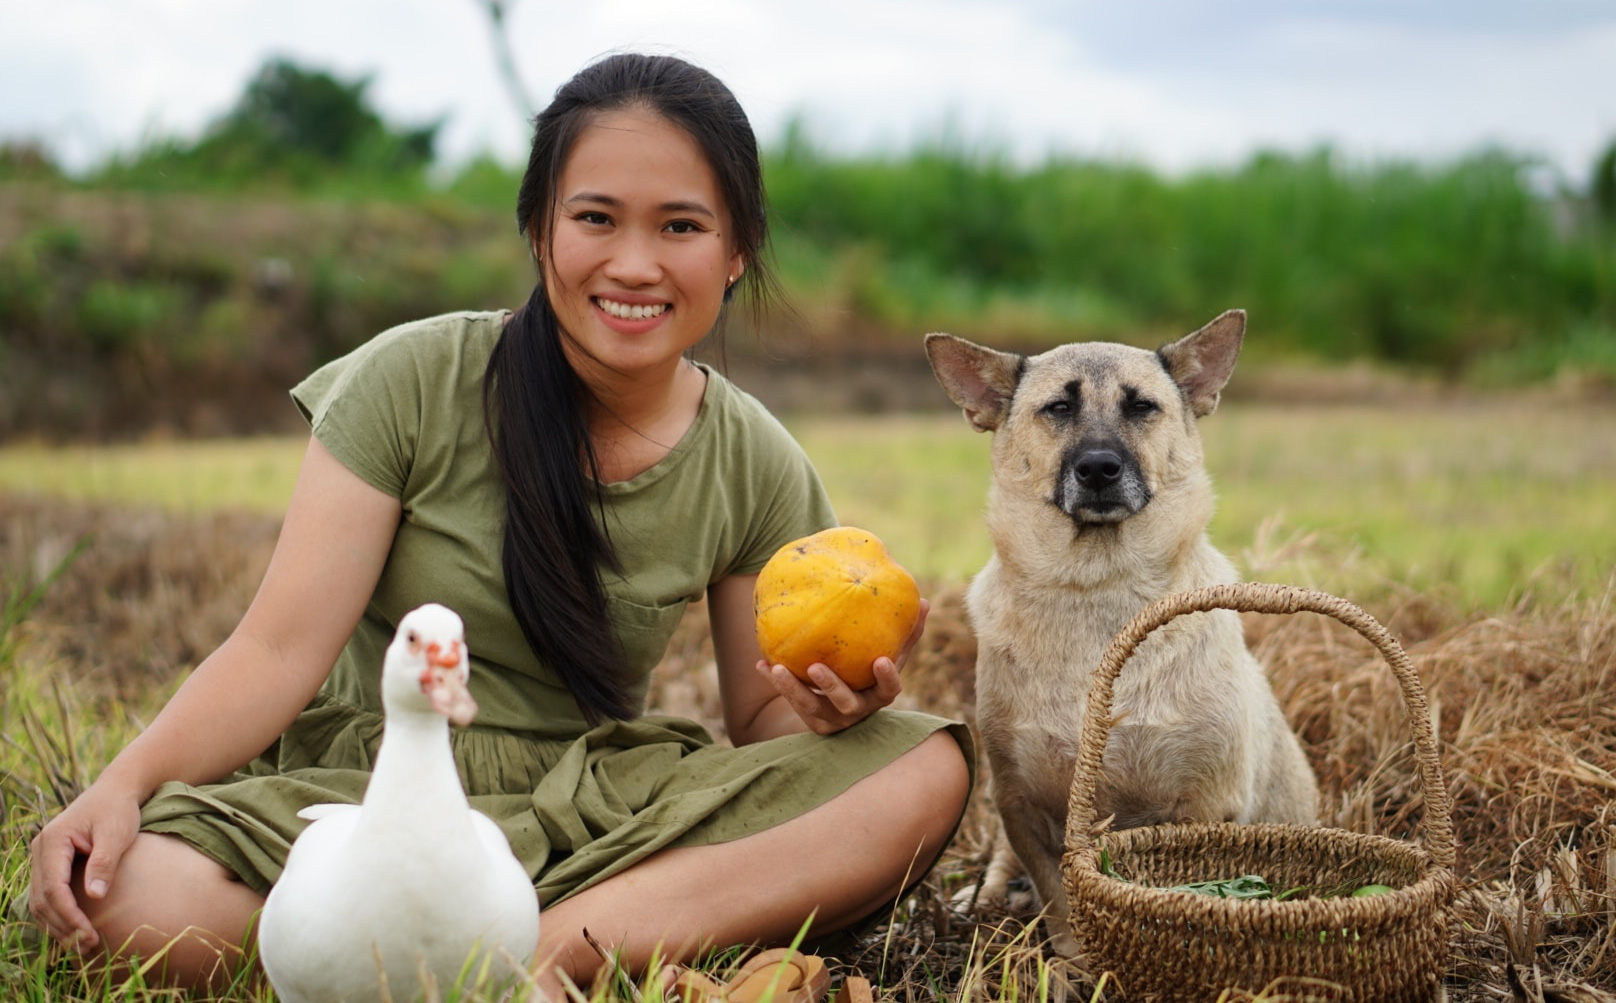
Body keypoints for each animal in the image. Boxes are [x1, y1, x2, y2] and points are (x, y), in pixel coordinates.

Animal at [930, 311, 1318, 956]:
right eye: (1058, 408)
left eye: (1141, 407)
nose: (1098, 468)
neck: (1097, 586)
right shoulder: (1021, 807)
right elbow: (1062, 905)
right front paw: (1076, 964)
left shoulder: (1202, 808)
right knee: (1001, 869)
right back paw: (978, 900)